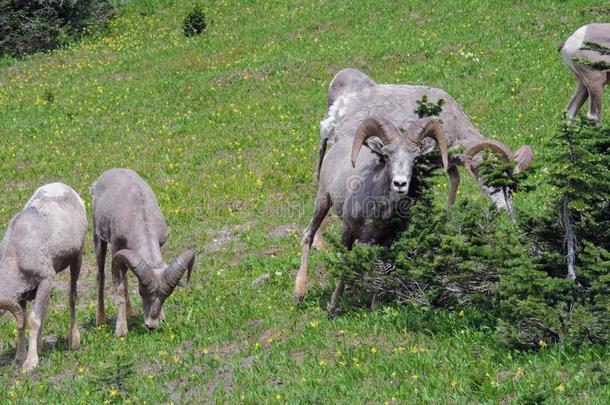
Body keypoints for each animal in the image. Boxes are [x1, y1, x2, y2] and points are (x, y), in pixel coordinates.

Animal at [0, 183, 86, 370]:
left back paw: (74, 341)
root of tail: (63, 186)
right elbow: (23, 323)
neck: (16, 254)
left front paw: (30, 363)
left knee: (72, 297)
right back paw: (40, 346)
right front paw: (19, 358)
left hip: (77, 259)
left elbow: (33, 321)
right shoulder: (23, 295)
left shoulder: (45, 281)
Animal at [92, 167, 195, 334]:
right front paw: (121, 331)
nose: (151, 326)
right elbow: (120, 290)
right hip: (99, 240)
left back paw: (130, 313)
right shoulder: (116, 250)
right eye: (141, 292)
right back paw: (100, 320)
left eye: (166, 296)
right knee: (100, 275)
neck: (140, 218)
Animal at [292, 115, 448, 308]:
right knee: (309, 235)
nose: (400, 184)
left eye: (415, 158)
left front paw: (374, 306)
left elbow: (379, 268)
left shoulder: (385, 241)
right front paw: (333, 306)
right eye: (387, 156)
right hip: (323, 199)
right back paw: (300, 294)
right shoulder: (347, 230)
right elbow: (345, 262)